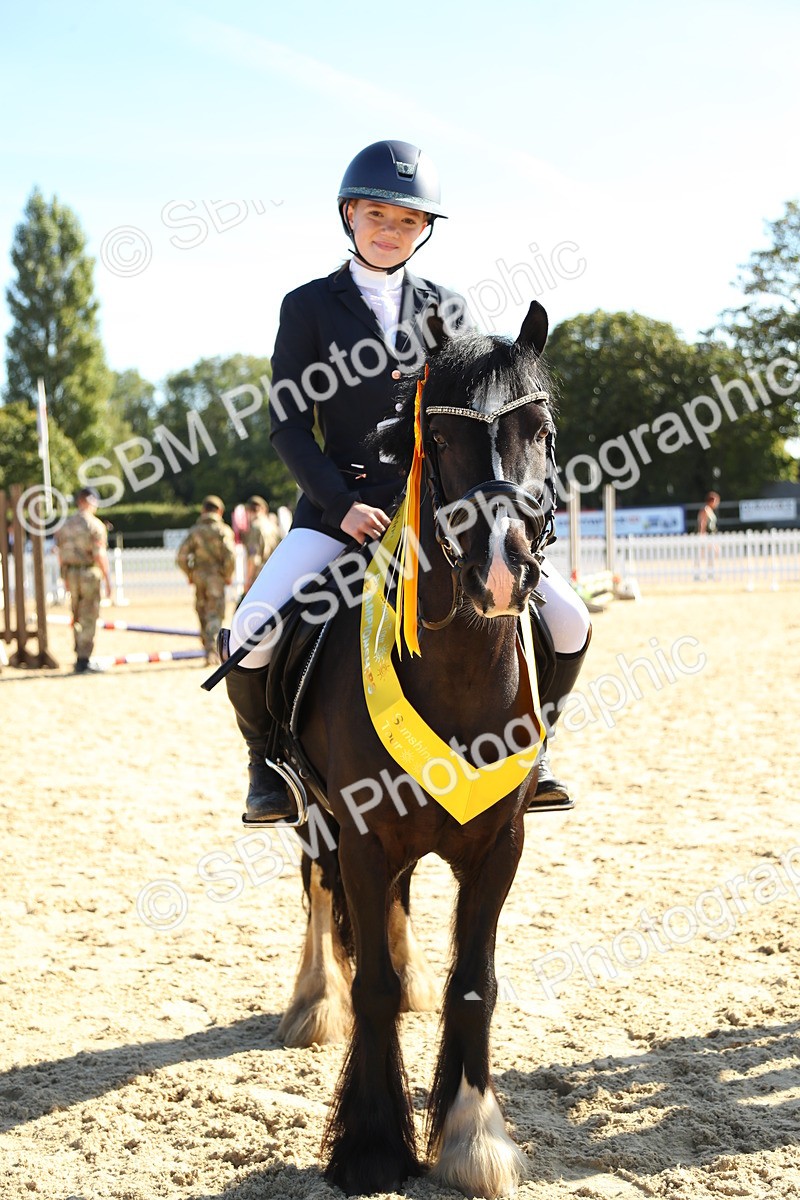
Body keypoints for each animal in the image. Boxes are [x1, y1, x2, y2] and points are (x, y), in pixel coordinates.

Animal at [275, 300, 555, 1198]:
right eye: (442, 436)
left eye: (540, 429)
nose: (501, 570)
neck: (460, 674)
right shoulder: (362, 835)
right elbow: (372, 987)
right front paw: (370, 1146)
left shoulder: (501, 843)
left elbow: (474, 986)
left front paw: (472, 1138)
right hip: (310, 812)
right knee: (317, 891)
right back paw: (311, 1002)